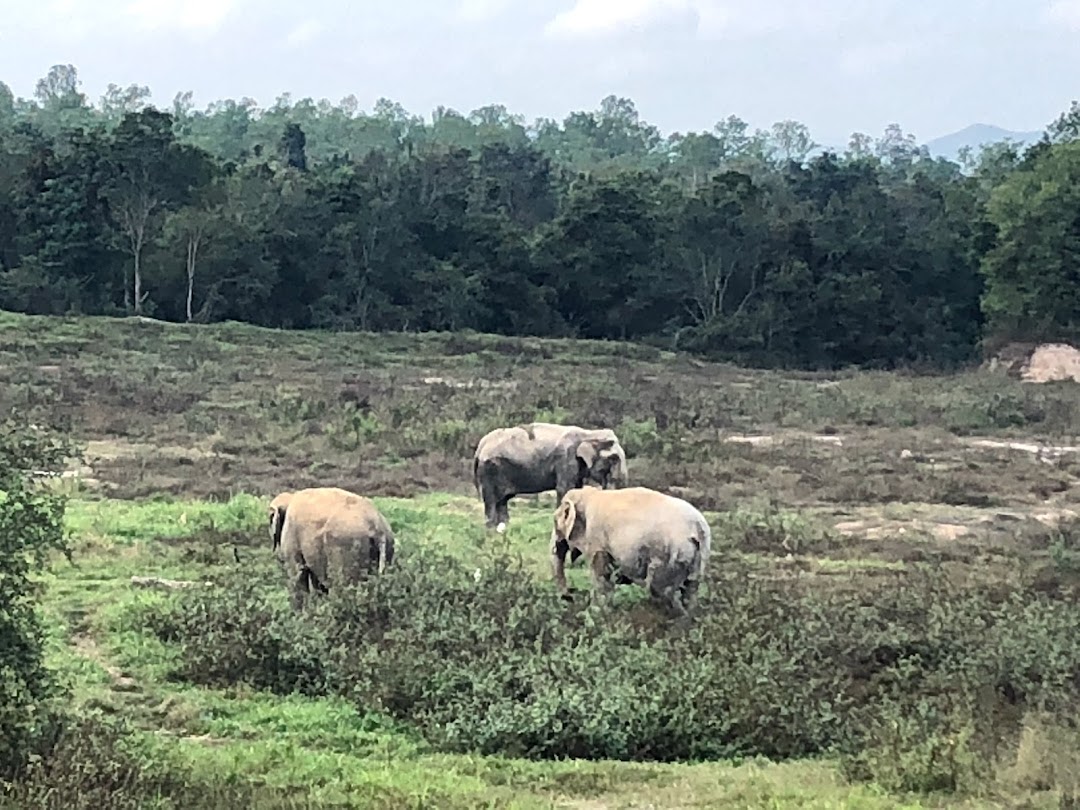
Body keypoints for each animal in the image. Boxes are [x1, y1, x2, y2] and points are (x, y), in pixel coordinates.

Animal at [266, 488, 397, 609]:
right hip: (387, 547)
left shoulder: (291, 534)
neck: (290, 497)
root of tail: (377, 528)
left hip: (345, 549)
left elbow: (298, 574)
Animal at [470, 421, 630, 535]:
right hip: (490, 470)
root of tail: (480, 446)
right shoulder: (566, 459)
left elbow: (575, 489)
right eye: (614, 458)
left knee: (502, 501)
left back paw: (503, 530)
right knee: (492, 500)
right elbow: (564, 489)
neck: (588, 433)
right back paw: (491, 532)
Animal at [548, 488, 708, 613]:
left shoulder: (596, 539)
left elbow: (601, 573)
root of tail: (697, 527)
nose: (569, 597)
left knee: (660, 588)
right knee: (691, 586)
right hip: (697, 556)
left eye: (555, 522)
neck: (589, 493)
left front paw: (597, 611)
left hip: (668, 554)